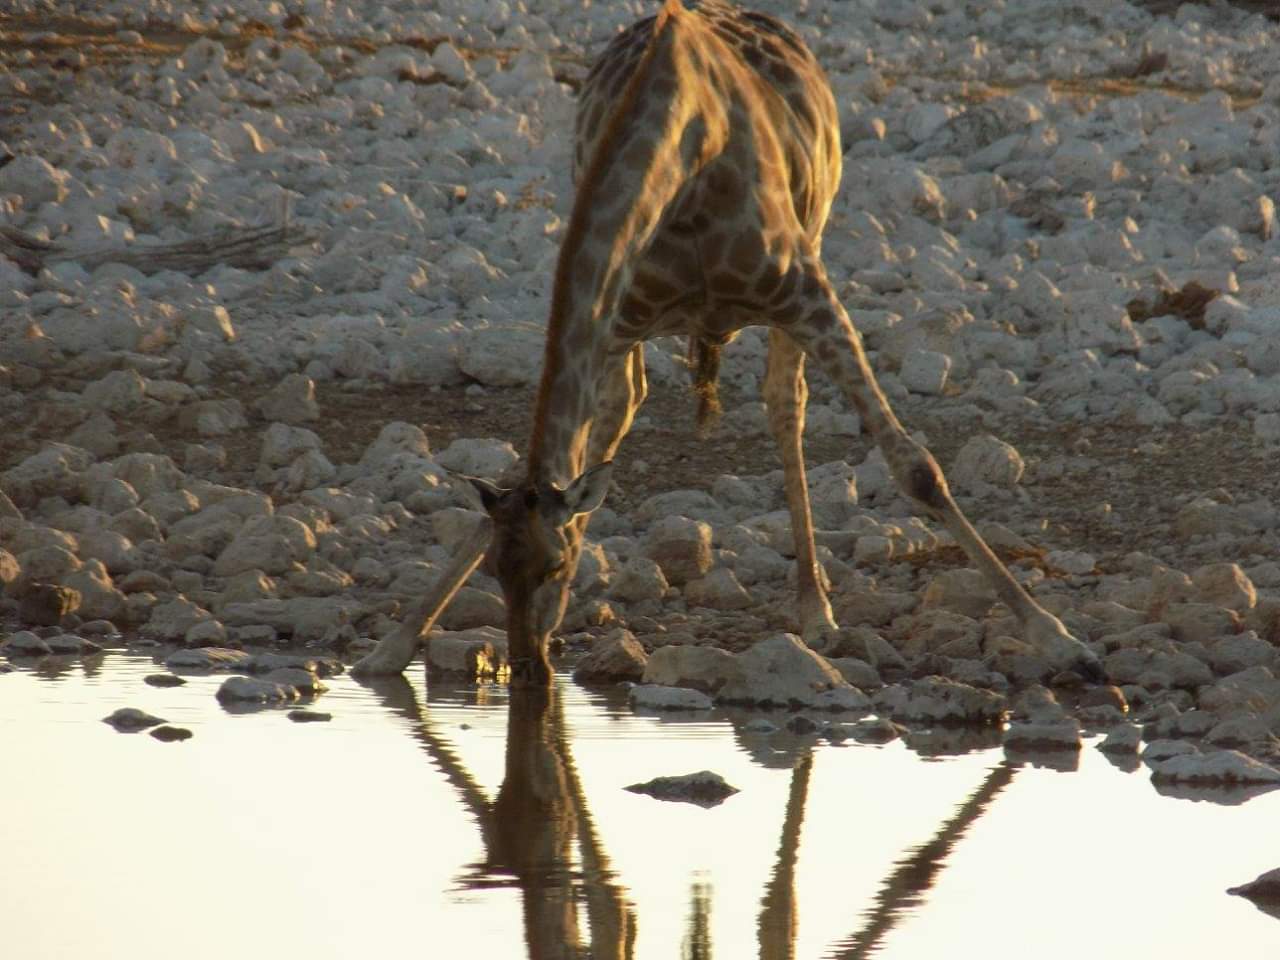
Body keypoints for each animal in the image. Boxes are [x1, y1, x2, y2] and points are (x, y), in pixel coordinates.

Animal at [355, 0, 1105, 685]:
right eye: (495, 570)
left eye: (556, 563)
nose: (529, 666)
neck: (688, 154)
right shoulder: (618, 315)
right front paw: (390, 647)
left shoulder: (806, 291)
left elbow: (917, 468)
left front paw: (1062, 641)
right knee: (628, 411)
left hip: (814, 242)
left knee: (785, 403)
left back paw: (816, 612)